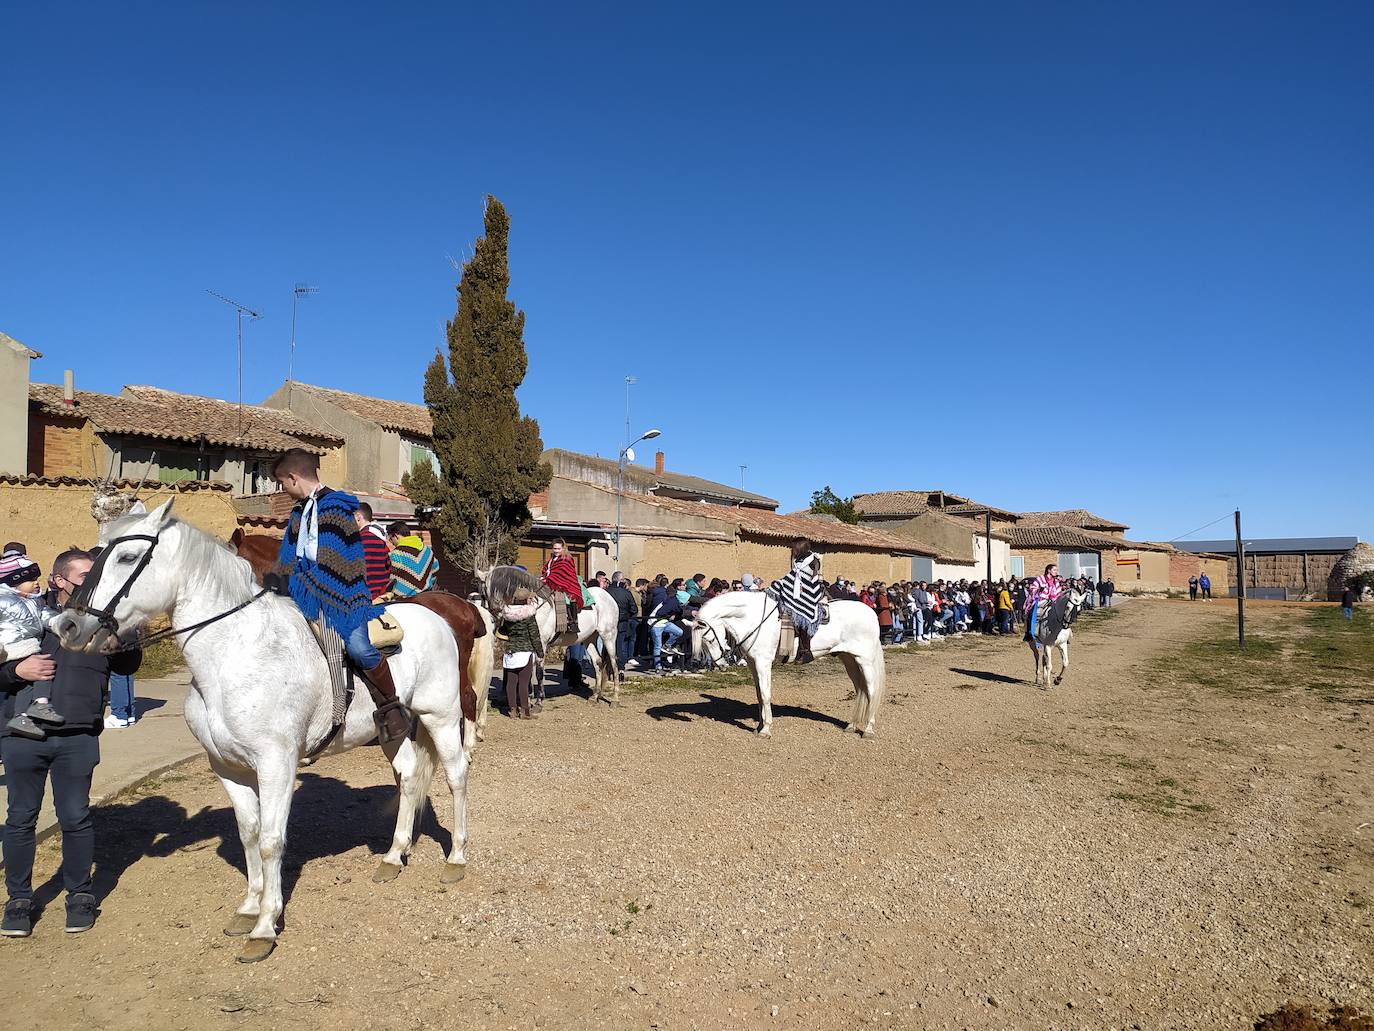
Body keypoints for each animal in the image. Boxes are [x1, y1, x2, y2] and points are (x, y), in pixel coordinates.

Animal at [687, 593, 890, 736]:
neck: (754, 618)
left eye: (708, 638)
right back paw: (851, 725)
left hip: (865, 660)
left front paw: (766, 729)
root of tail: (870, 612)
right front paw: (759, 726)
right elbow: (759, 695)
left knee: (871, 691)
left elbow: (766, 694)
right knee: (860, 690)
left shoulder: (763, 663)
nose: (721, 665)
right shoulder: (753, 664)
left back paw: (868, 729)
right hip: (849, 659)